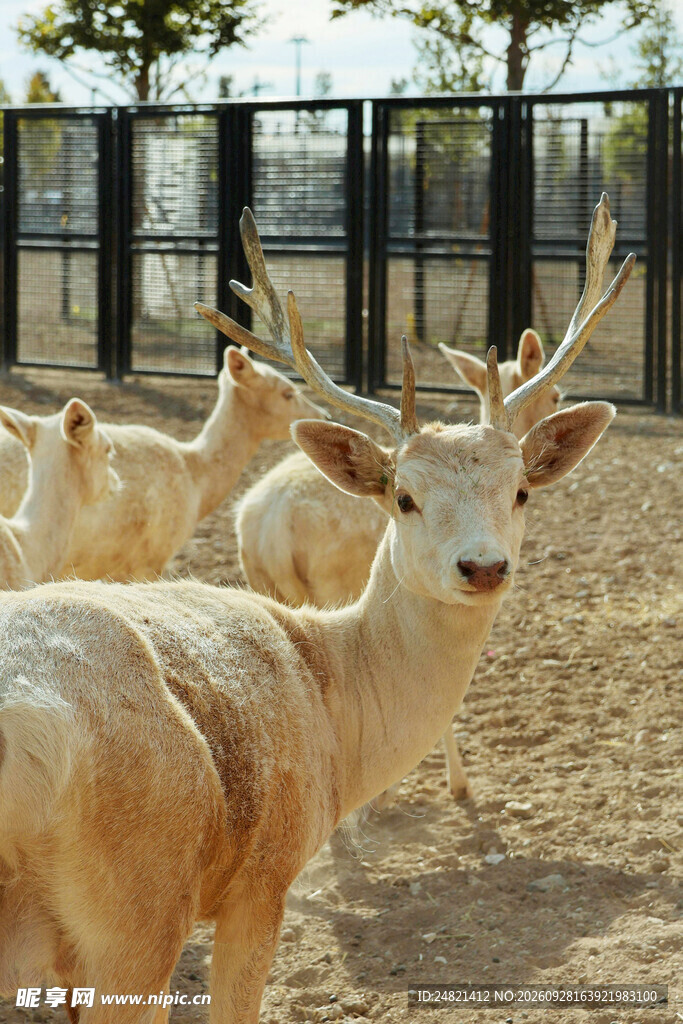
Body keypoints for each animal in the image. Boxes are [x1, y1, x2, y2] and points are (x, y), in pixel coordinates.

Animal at [235, 329, 561, 800]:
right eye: (403, 499)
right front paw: (457, 784)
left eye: (522, 492)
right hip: (333, 582)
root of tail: (272, 525)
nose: (485, 567)